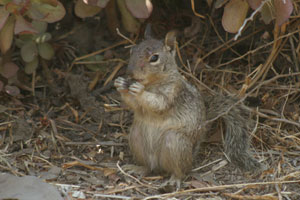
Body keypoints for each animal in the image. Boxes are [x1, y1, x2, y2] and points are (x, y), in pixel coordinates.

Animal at [113, 26, 264, 184]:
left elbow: (158, 104)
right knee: (148, 167)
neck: (152, 84)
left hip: (175, 143)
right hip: (136, 137)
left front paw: (139, 91)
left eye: (154, 58)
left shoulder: (173, 93)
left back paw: (174, 180)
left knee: (181, 171)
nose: (130, 73)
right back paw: (138, 168)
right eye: (132, 50)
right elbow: (134, 105)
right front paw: (120, 84)